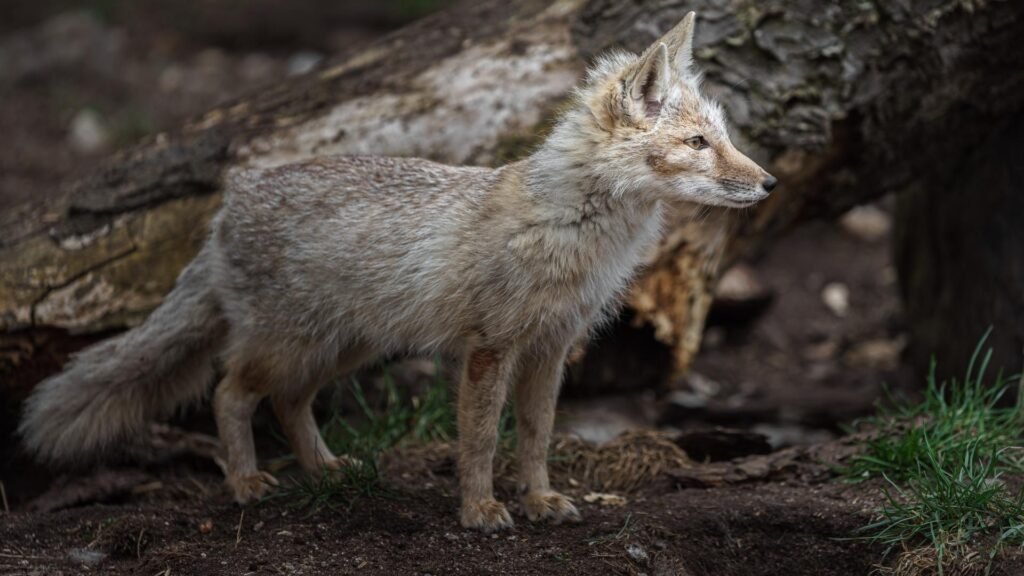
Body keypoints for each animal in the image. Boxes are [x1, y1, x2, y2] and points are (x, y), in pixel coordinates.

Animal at [18, 12, 774, 532]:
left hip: (344, 347)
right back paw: (245, 483)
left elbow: (535, 438)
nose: (767, 183)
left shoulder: (551, 349)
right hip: (291, 346)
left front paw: (537, 499)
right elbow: (479, 440)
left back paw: (324, 469)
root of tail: (229, 205)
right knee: (230, 393)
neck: (576, 234)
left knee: (288, 403)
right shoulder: (491, 348)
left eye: (724, 137)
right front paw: (479, 511)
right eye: (698, 144)